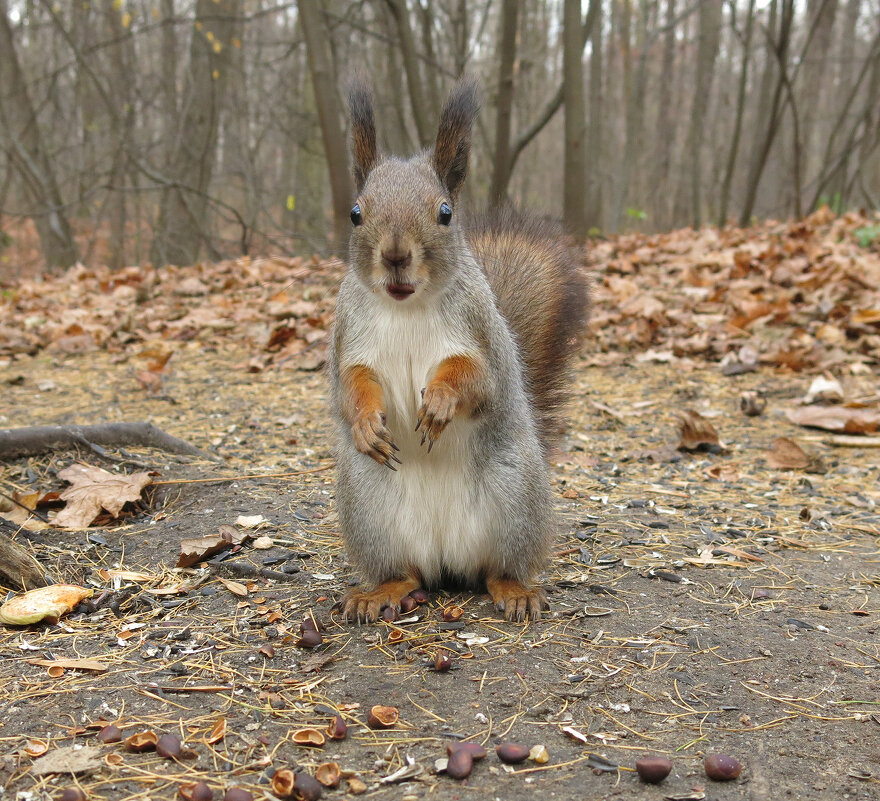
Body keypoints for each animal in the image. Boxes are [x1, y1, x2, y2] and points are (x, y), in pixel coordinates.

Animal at [326, 75, 588, 620]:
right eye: (356, 213)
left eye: (445, 213)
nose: (396, 254)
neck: (405, 306)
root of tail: (446, 560)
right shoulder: (349, 340)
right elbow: (351, 385)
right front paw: (364, 422)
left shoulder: (479, 333)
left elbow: (477, 379)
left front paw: (442, 400)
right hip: (370, 509)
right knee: (406, 571)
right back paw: (382, 591)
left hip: (513, 495)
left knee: (496, 568)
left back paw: (514, 589)